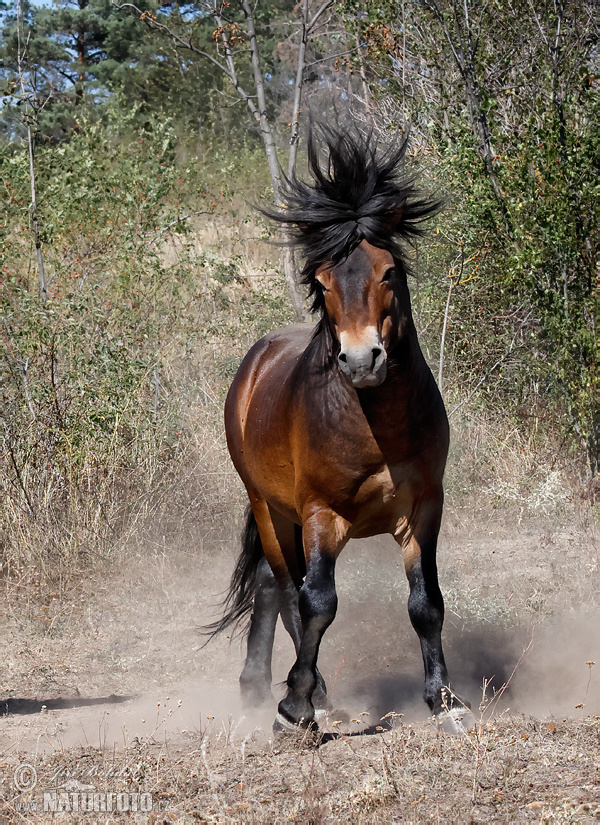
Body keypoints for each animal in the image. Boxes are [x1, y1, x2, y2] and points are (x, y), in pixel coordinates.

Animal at [206, 124, 468, 732]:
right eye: (324, 282)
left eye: (388, 271)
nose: (361, 359)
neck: (376, 427)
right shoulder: (321, 514)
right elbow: (317, 602)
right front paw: (295, 707)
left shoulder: (424, 508)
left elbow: (427, 604)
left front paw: (446, 702)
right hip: (269, 508)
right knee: (286, 589)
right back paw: (307, 694)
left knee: (269, 584)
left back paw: (258, 684)